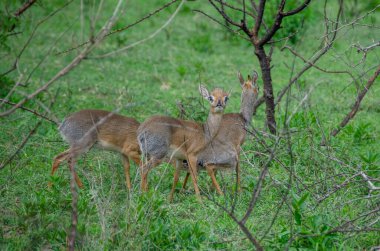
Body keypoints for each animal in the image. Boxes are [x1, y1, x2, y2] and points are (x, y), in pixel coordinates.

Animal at [171, 69, 260, 199]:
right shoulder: (238, 147)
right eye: (258, 87)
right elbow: (238, 169)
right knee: (209, 167)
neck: (242, 118)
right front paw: (239, 191)